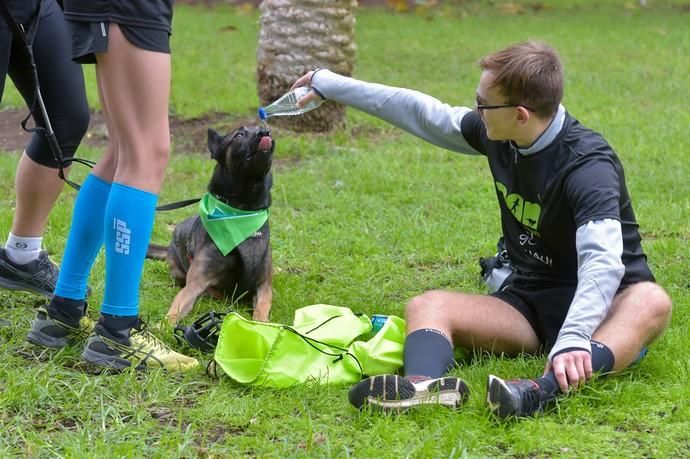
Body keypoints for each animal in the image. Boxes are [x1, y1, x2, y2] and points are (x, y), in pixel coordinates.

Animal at [148, 127, 274, 326]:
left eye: (265, 129)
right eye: (239, 135)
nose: (264, 131)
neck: (241, 210)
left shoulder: (264, 286)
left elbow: (261, 310)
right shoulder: (195, 283)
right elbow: (178, 306)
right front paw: (162, 327)